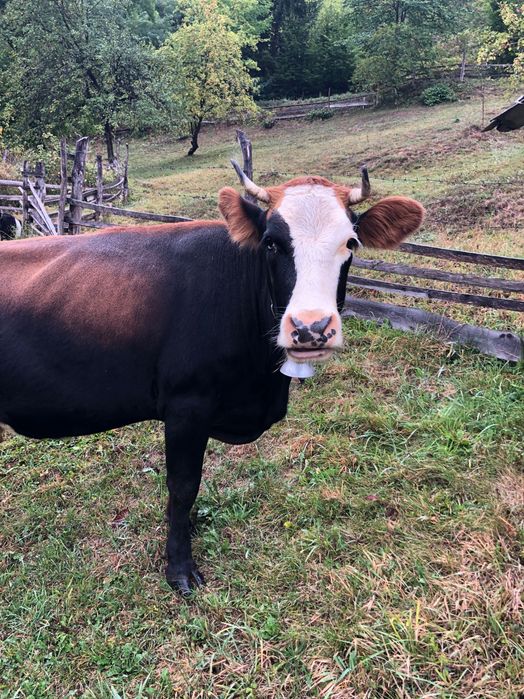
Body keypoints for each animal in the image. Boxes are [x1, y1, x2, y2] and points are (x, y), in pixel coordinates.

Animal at [0, 164, 425, 594]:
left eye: (351, 242)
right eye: (271, 243)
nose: (310, 328)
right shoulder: (187, 406)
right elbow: (184, 486)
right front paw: (179, 567)